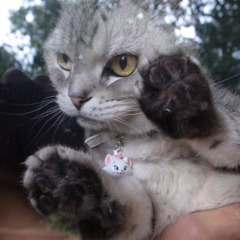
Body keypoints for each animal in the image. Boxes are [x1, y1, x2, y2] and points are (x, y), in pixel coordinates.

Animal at [23, 0, 240, 239]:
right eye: (64, 61)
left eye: (123, 64)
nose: (76, 98)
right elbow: (136, 205)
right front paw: (70, 185)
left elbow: (226, 130)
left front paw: (174, 91)